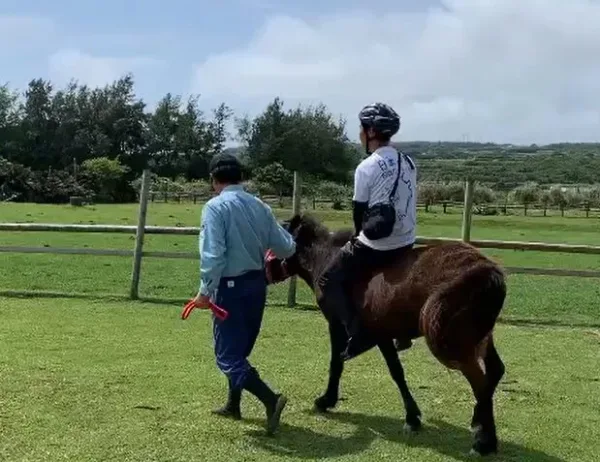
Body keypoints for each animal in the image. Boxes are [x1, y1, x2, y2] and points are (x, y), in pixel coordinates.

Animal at [268, 213, 506, 454]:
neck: (325, 258)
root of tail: (489, 271)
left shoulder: (339, 327)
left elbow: (337, 363)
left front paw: (326, 400)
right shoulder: (382, 335)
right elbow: (397, 373)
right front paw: (412, 417)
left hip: (450, 344)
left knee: (480, 382)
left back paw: (482, 441)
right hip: (480, 337)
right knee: (495, 371)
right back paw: (481, 427)